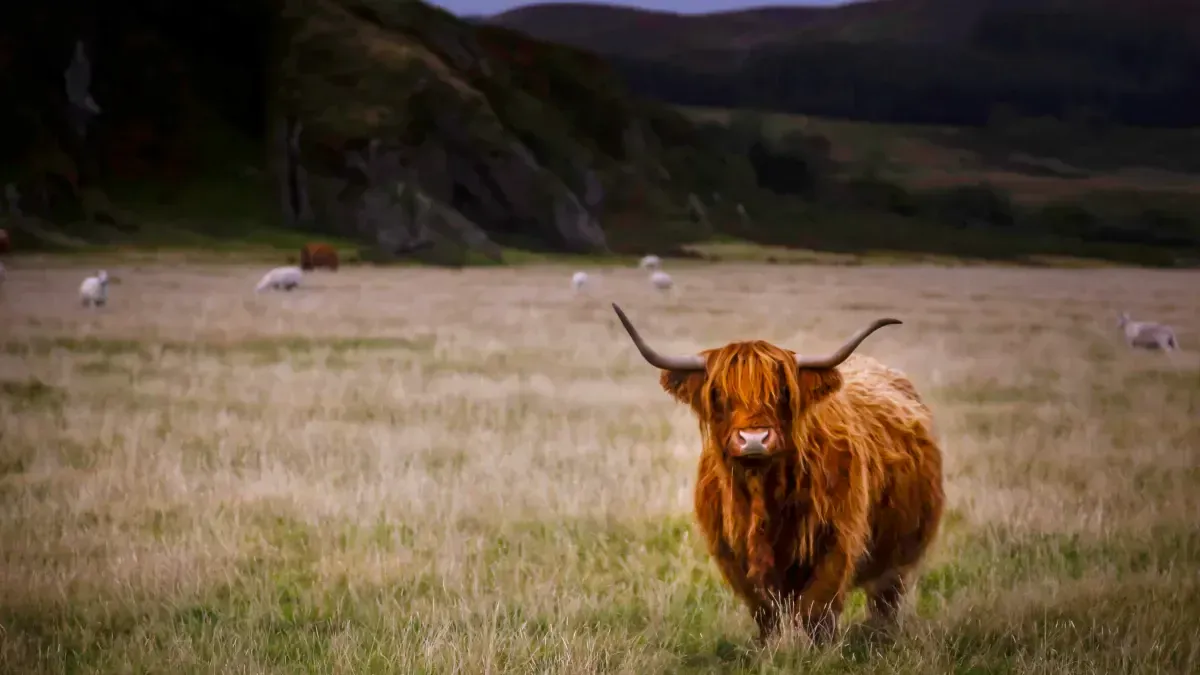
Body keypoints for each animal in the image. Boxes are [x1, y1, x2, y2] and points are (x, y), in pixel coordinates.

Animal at [614, 302, 940, 643]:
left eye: (783, 391)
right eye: (717, 393)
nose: (754, 439)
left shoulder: (837, 543)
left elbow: (816, 612)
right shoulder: (733, 556)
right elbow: (765, 612)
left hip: (900, 555)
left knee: (885, 599)